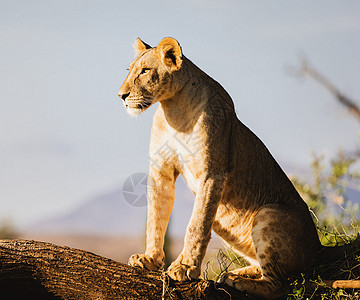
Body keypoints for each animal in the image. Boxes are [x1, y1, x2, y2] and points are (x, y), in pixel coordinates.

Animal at [119, 38, 350, 298]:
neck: (172, 108)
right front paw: (149, 259)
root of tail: (319, 248)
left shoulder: (212, 172)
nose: (121, 95)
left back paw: (239, 280)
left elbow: (196, 224)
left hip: (268, 213)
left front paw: (185, 267)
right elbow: (155, 218)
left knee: (281, 285)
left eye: (145, 71)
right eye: (129, 70)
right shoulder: (161, 171)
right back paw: (234, 273)